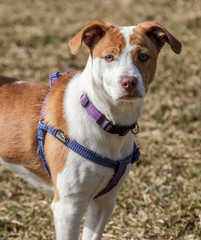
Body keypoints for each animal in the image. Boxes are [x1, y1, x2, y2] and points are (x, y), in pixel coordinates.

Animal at [0, 19, 181, 239]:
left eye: (143, 56)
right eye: (109, 57)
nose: (129, 82)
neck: (104, 119)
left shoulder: (105, 202)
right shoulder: (67, 206)